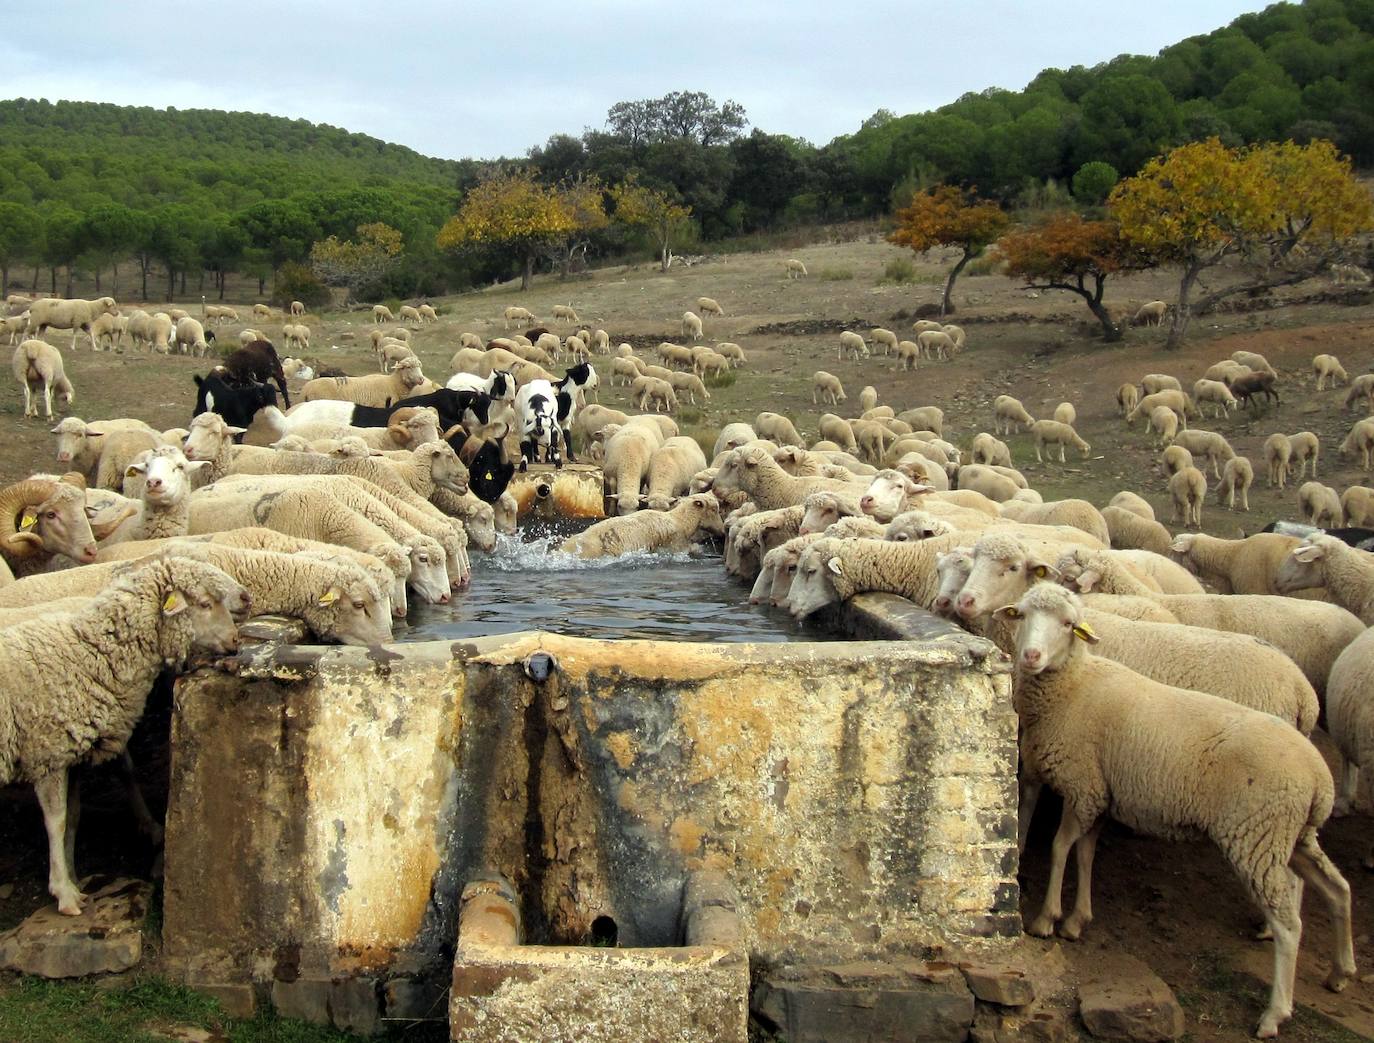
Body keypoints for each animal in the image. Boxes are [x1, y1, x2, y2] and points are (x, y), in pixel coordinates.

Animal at [994, 582, 1357, 1038]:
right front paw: (1078, 919)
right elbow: (1086, 854)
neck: (1074, 687)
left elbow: (1061, 849)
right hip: (1289, 836)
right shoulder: (1101, 793)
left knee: (1290, 925)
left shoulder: (1082, 786)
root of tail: (1318, 777)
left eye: (1068, 623)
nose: (1031, 656)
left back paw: (1274, 1013)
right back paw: (1340, 972)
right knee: (1337, 889)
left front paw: (1047, 919)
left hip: (1256, 835)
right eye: (1022, 614)